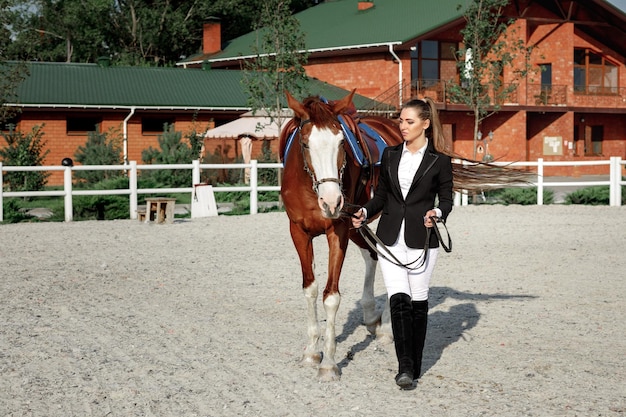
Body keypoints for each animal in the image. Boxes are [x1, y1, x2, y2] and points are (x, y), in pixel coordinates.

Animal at [276, 89, 402, 378]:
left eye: (342, 143)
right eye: (305, 143)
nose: (332, 202)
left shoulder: (338, 231)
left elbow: (331, 297)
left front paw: (329, 363)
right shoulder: (298, 232)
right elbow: (310, 289)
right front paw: (312, 352)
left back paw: (387, 328)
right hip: (357, 223)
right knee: (372, 256)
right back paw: (371, 316)